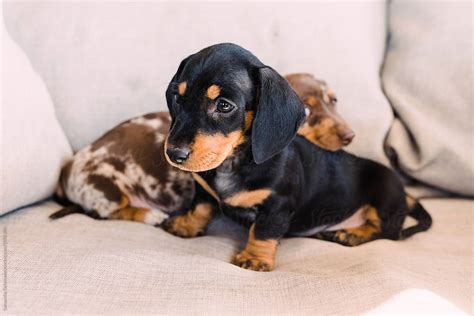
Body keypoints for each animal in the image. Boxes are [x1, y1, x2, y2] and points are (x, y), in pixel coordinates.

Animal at [49, 76, 352, 225]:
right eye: (307, 112)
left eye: (335, 101)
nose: (351, 136)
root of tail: (69, 167)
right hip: (108, 191)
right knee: (107, 212)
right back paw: (151, 216)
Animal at [164, 42, 434, 272]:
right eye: (177, 97)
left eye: (223, 105)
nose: (173, 154)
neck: (234, 162)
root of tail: (404, 192)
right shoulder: (203, 189)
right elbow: (200, 207)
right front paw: (185, 225)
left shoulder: (278, 205)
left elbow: (263, 231)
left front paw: (255, 258)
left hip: (384, 197)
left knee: (387, 231)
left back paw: (353, 234)